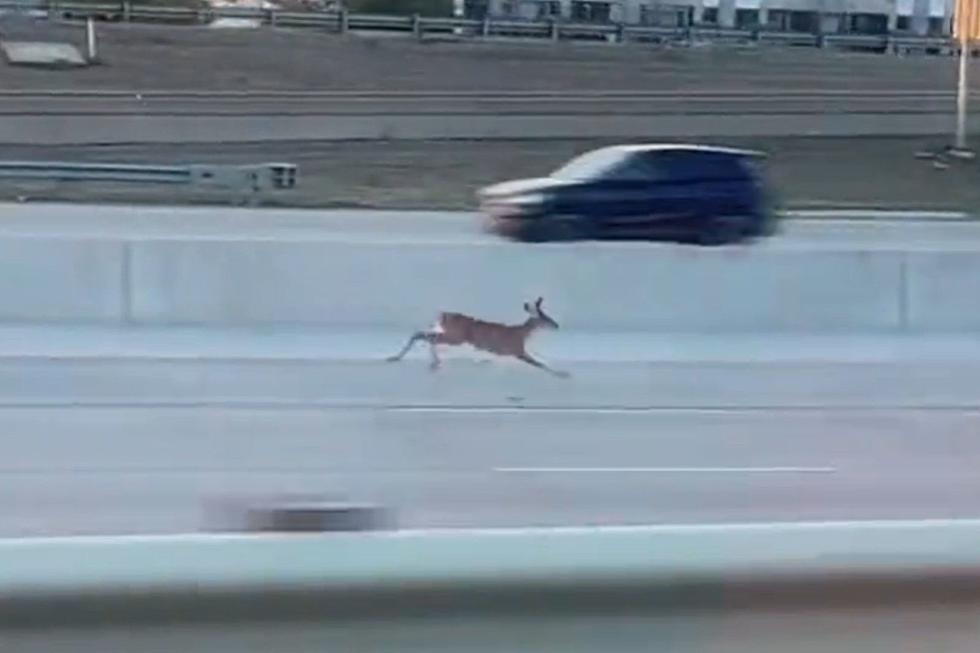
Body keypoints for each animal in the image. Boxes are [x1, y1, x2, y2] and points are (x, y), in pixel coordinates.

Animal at [382, 296, 568, 376]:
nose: (556, 325)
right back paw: (434, 363)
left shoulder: (505, 352)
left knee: (421, 334)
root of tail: (443, 315)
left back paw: (398, 358)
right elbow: (540, 364)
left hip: (450, 334)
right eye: (545, 318)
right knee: (428, 337)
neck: (520, 333)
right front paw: (563, 373)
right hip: (456, 337)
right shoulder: (516, 350)